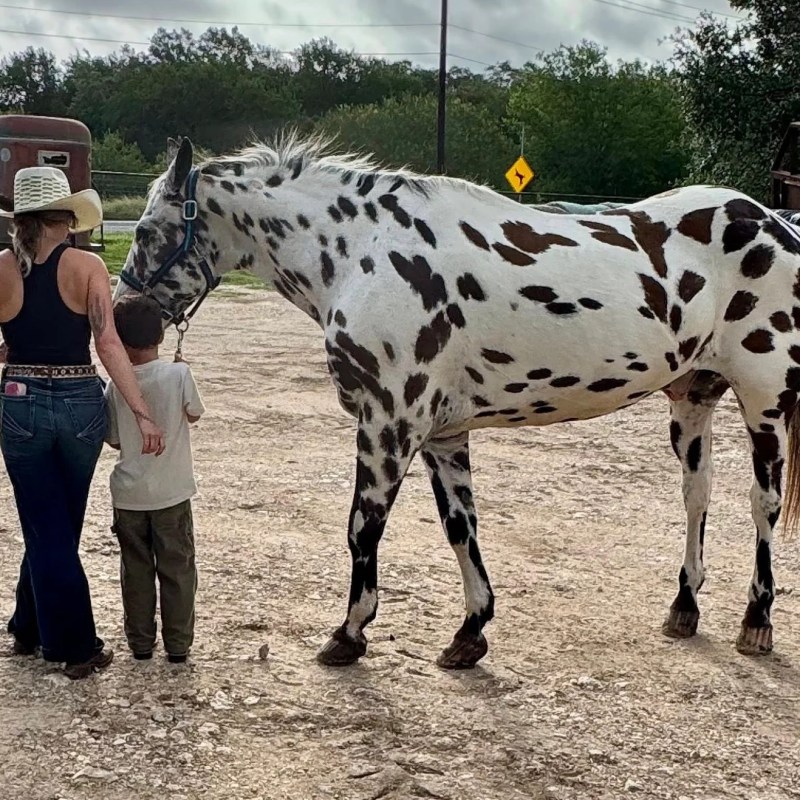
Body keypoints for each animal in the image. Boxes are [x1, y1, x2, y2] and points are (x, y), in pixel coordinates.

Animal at [114, 133, 800, 670]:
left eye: (148, 231)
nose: (122, 315)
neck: (362, 255)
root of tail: (777, 223)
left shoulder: (388, 426)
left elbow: (362, 528)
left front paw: (349, 634)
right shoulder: (441, 434)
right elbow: (460, 527)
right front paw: (470, 631)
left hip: (764, 403)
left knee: (761, 504)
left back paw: (757, 619)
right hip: (692, 400)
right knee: (697, 496)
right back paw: (684, 607)